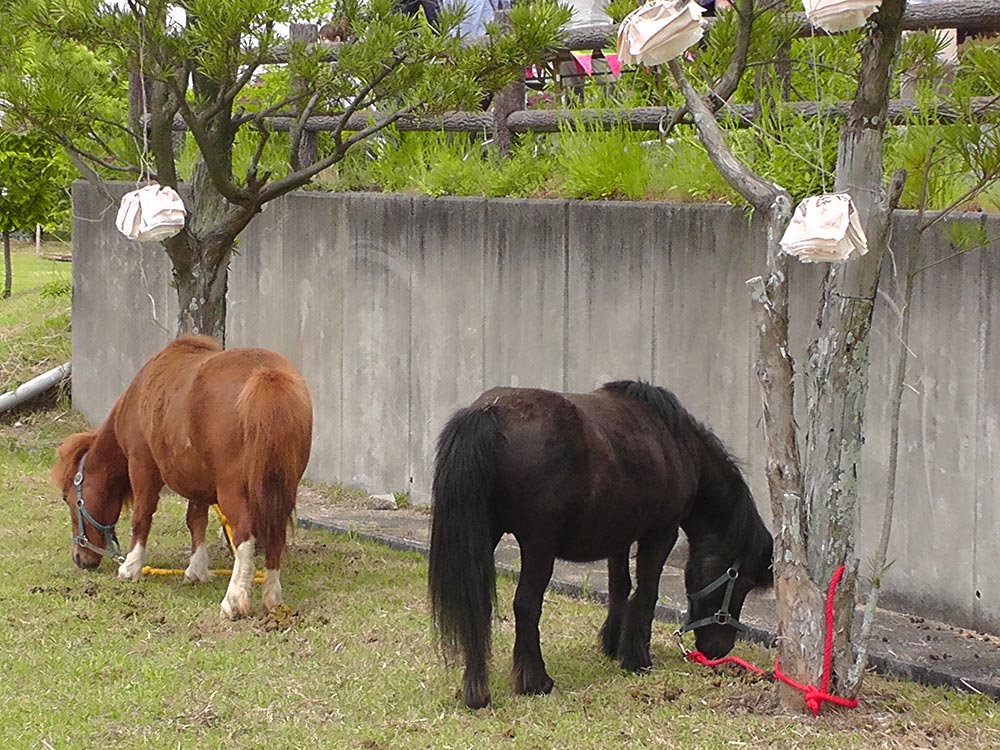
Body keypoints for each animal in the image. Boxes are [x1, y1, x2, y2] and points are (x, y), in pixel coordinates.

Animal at [50, 338, 314, 620]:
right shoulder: (197, 480)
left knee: (244, 537)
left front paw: (131, 567)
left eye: (69, 499)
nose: (79, 558)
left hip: (233, 492)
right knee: (276, 536)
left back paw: (233, 600)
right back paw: (272, 598)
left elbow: (142, 517)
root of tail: (266, 376)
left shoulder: (142, 467)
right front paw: (196, 570)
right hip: (283, 489)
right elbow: (195, 520)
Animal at [428, 382, 772, 712]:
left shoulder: (620, 535)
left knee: (478, 606)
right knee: (526, 604)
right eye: (740, 581)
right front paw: (636, 659)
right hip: (538, 545)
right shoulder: (660, 534)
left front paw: (612, 645)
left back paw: (476, 691)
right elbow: (646, 593)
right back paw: (536, 681)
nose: (719, 649)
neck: (679, 445)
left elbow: (620, 587)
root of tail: (490, 412)